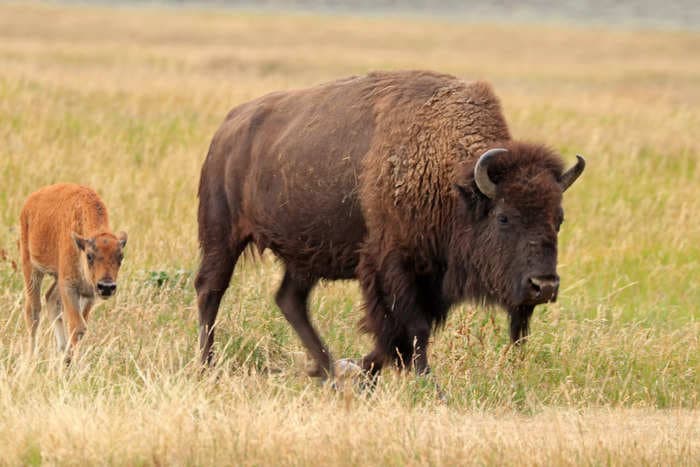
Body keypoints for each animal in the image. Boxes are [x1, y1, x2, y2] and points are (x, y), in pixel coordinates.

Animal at [19, 185, 127, 360]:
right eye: (89, 256)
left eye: (121, 257)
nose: (107, 287)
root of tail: (30, 203)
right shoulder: (69, 287)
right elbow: (77, 326)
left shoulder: (89, 293)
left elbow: (81, 326)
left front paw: (69, 358)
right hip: (32, 268)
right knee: (33, 311)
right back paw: (31, 358)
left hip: (57, 278)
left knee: (50, 299)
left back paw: (62, 351)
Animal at [197, 70, 584, 380]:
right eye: (504, 217)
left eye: (558, 219)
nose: (544, 286)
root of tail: (228, 127)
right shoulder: (392, 267)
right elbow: (410, 331)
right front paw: (426, 384)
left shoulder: (432, 278)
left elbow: (398, 338)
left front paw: (362, 374)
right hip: (221, 235)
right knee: (210, 290)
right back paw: (206, 365)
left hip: (305, 256)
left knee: (289, 299)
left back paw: (326, 369)